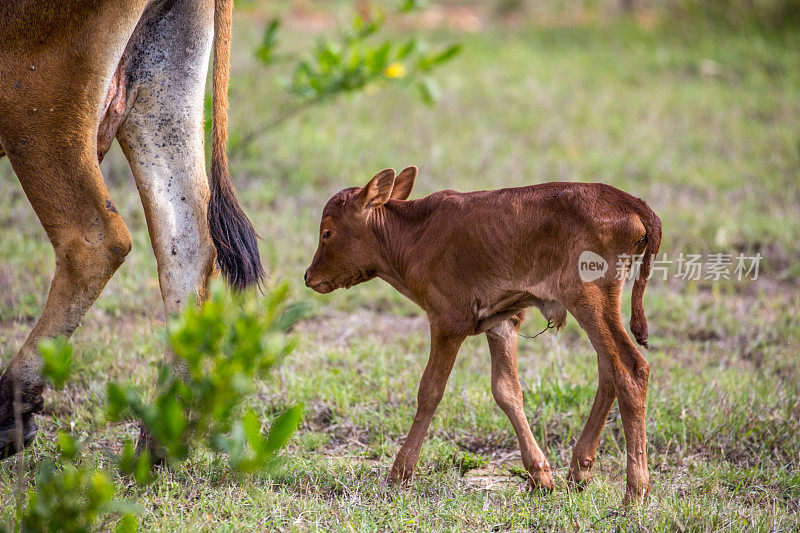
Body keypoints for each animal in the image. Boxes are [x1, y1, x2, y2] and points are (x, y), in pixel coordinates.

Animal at [0, 0, 262, 458]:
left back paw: (9, 410)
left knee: (96, 242)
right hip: (158, 92)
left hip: (34, 103)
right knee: (188, 246)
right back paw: (157, 443)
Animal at [306, 167, 664, 502]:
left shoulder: (447, 322)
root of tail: (630, 202)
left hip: (589, 300)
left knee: (630, 370)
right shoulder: (501, 322)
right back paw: (579, 470)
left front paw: (399, 474)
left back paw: (634, 493)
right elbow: (507, 391)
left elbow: (430, 391)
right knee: (608, 370)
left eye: (327, 232)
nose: (309, 276)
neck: (415, 233)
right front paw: (540, 476)